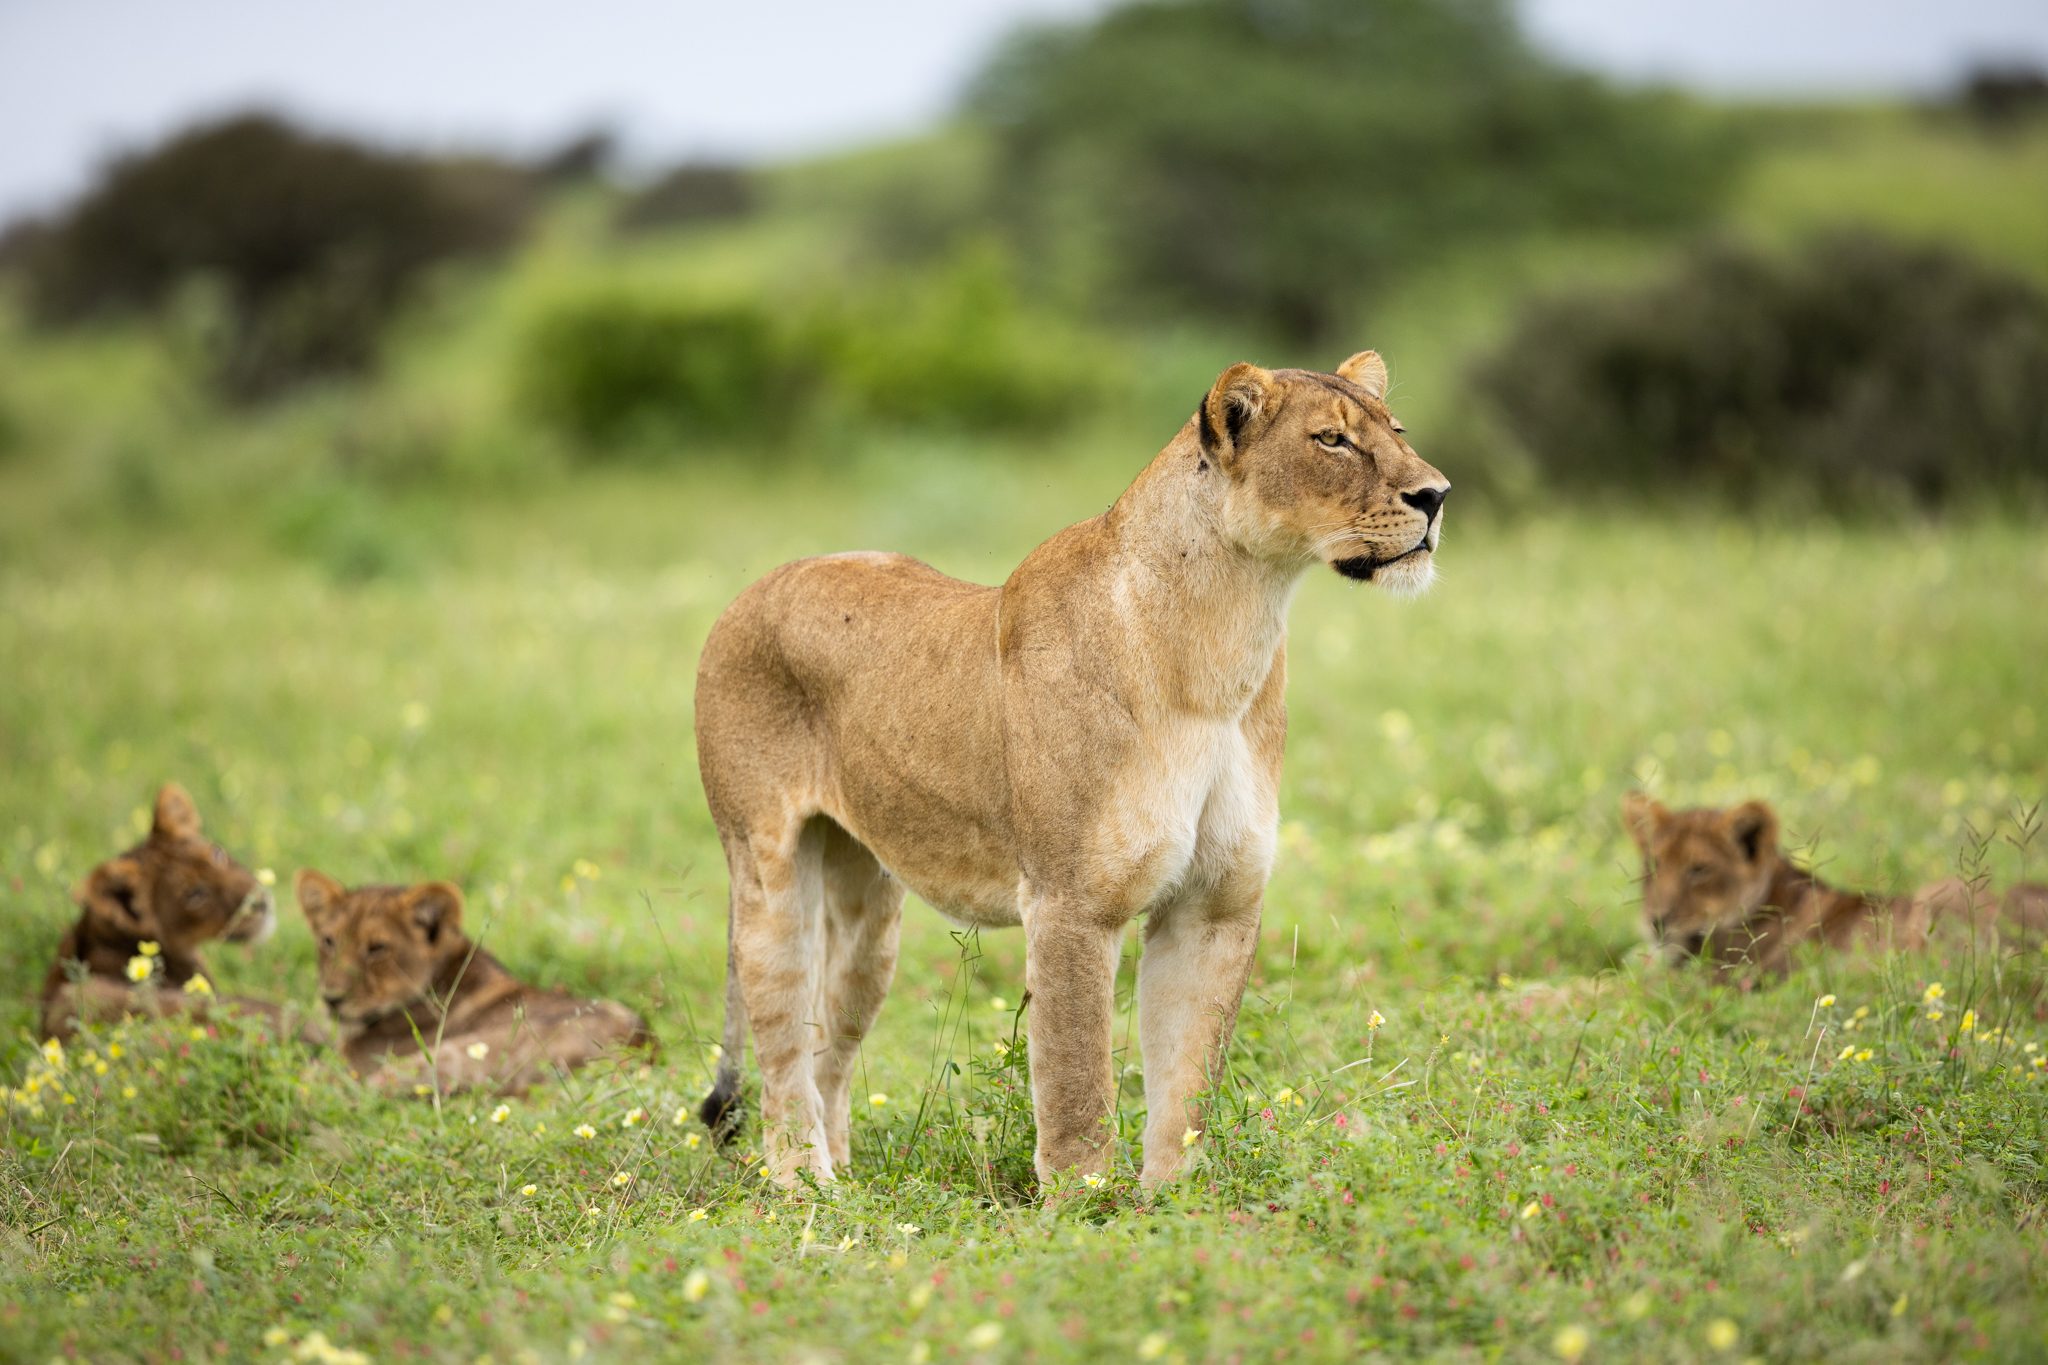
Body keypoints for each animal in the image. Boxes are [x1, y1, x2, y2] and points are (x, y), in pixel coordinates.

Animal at [295, 870, 653, 1095]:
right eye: (328, 941)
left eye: (377, 948)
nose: (331, 999)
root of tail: (641, 1045)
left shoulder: (356, 1060)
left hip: (434, 1059)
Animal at [694, 352, 1449, 1188]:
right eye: (1331, 441)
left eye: (1397, 432)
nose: (1436, 495)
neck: (1228, 641)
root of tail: (752, 589)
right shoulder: (1072, 903)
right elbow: (1077, 1076)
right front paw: (1081, 1205)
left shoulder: (1215, 904)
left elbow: (1188, 1077)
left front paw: (1173, 1200)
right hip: (769, 874)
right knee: (782, 1044)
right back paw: (807, 1184)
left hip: (868, 913)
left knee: (830, 1039)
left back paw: (849, 1182)